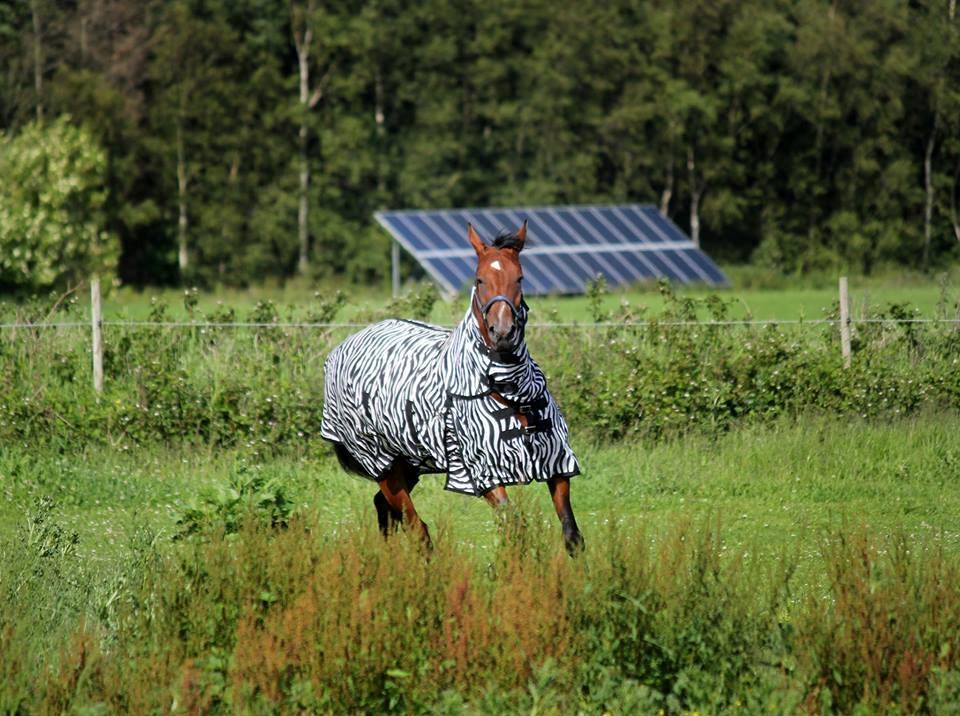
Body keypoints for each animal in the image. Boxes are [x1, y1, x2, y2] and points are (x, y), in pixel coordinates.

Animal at [318, 221, 580, 556]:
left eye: (519, 278)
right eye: (479, 279)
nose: (503, 333)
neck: (508, 390)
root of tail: (342, 349)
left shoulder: (556, 464)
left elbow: (571, 534)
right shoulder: (482, 472)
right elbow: (515, 526)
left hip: (408, 463)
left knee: (386, 511)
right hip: (383, 465)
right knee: (416, 527)